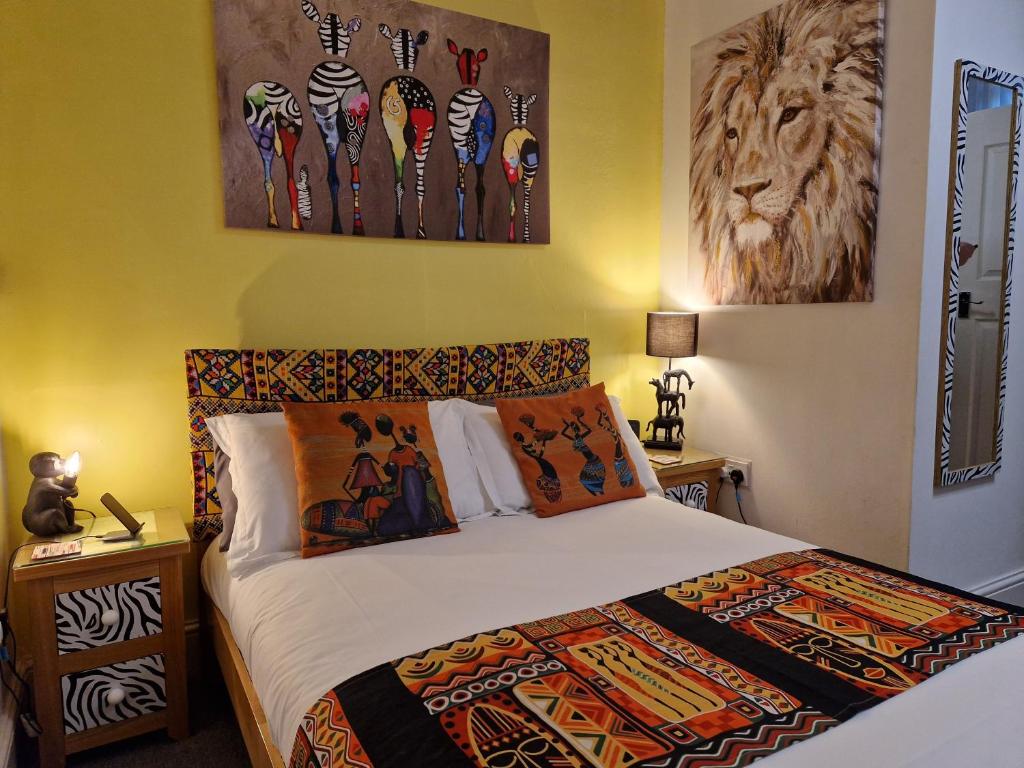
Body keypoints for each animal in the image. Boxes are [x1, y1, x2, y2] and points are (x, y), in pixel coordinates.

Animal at [501, 87, 540, 243]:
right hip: (528, 173)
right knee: (525, 204)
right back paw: (524, 238)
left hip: (511, 170)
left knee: (514, 204)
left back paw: (513, 238)